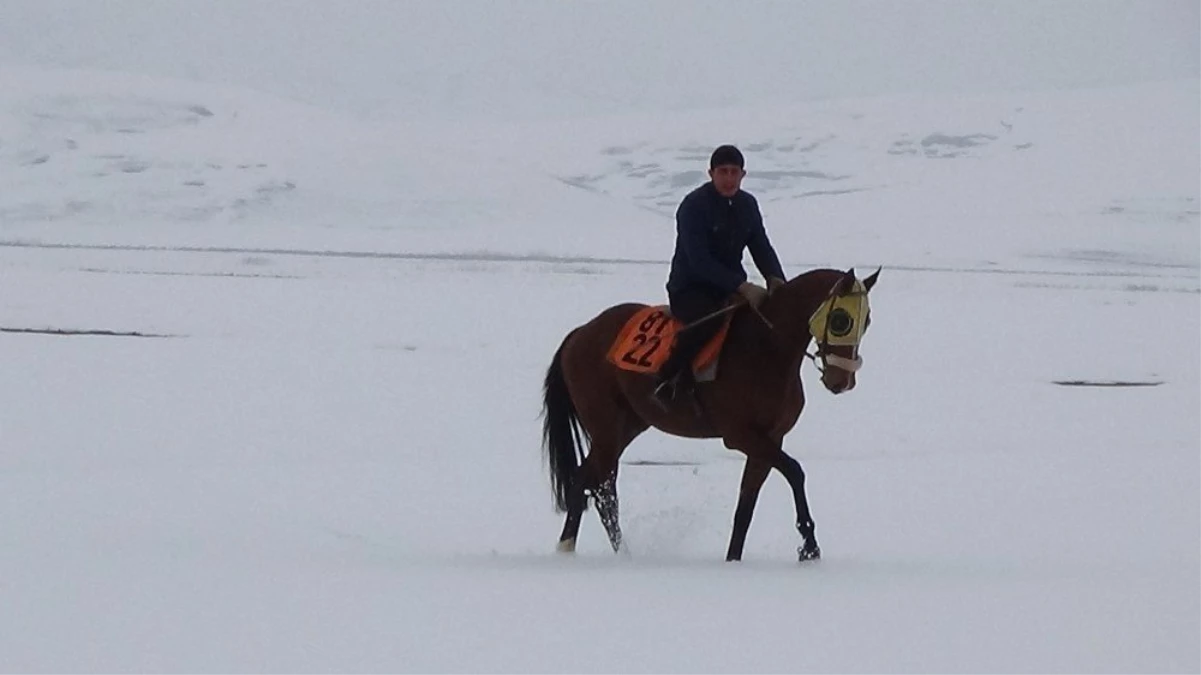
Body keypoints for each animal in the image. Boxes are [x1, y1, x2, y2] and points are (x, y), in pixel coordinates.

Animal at [540, 265, 879, 559]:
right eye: (840, 320)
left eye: (868, 321)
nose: (842, 380)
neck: (767, 347)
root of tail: (580, 333)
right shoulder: (741, 435)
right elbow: (795, 471)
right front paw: (809, 547)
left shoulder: (771, 438)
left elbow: (746, 507)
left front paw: (733, 559)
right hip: (607, 428)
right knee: (595, 486)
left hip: (627, 426)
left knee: (593, 484)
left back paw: (602, 551)